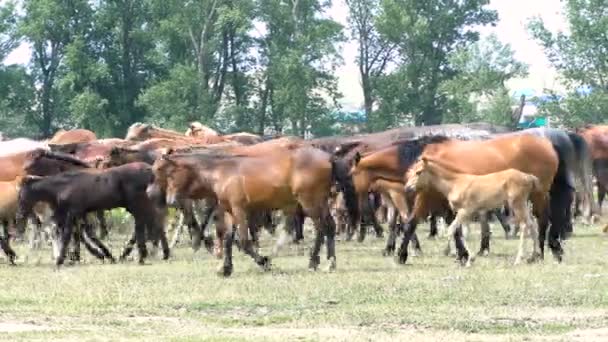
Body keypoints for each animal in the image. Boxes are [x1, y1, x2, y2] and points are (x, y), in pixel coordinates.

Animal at [406, 156, 544, 266]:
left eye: (419, 172)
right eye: (411, 171)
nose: (407, 188)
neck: (455, 183)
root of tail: (529, 177)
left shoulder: (465, 211)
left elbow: (451, 229)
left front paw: (449, 252)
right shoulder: (465, 214)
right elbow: (464, 233)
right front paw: (470, 259)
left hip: (517, 204)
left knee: (524, 225)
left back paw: (518, 259)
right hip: (523, 205)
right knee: (532, 225)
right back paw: (533, 257)